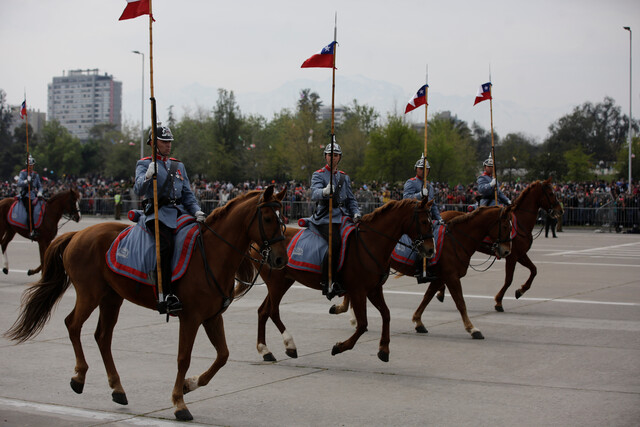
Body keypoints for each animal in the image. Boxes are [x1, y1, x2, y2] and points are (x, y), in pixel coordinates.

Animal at [3, 186, 288, 422]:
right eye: (268, 219)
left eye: (283, 221)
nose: (280, 259)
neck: (211, 253)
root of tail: (78, 234)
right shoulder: (191, 318)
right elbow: (183, 358)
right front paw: (179, 402)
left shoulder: (212, 317)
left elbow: (223, 356)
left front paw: (190, 384)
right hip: (89, 294)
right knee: (72, 325)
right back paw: (79, 376)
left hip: (111, 298)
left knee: (102, 337)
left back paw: (117, 389)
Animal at [238, 199, 438, 362]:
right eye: (423, 222)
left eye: (430, 221)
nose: (430, 250)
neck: (371, 243)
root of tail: (257, 242)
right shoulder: (358, 290)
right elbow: (363, 324)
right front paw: (340, 347)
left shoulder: (374, 289)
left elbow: (386, 315)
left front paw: (384, 349)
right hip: (276, 283)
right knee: (272, 311)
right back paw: (289, 345)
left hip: (283, 282)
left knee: (263, 311)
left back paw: (265, 351)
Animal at [438, 179, 564, 312]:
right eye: (551, 194)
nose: (560, 210)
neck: (521, 223)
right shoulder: (512, 256)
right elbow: (509, 280)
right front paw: (499, 301)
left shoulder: (520, 255)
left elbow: (534, 270)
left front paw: (521, 291)